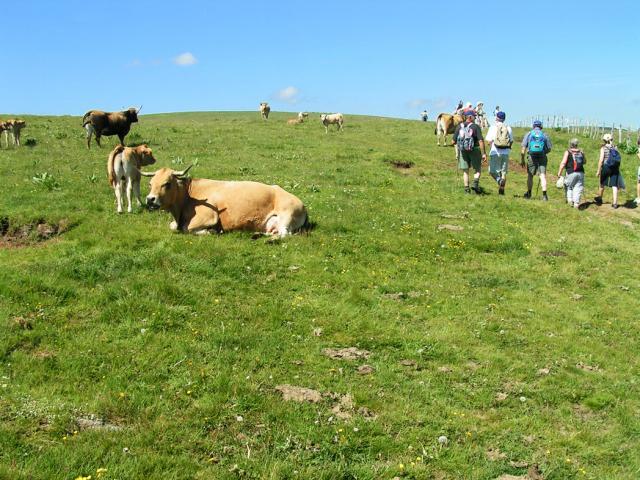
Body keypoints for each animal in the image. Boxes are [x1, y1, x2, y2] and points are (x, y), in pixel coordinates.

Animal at [142, 167, 308, 238]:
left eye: (167, 183)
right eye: (150, 184)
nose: (150, 199)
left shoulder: (208, 216)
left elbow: (186, 228)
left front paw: (211, 231)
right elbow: (173, 227)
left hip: (287, 214)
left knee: (285, 234)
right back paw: (257, 234)